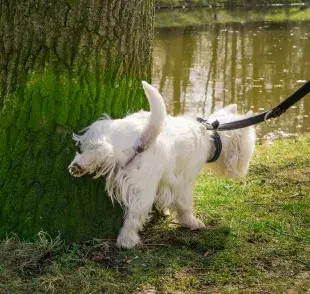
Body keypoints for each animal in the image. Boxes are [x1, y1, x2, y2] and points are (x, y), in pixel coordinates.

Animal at [69, 81, 256, 249]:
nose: (243, 172)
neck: (211, 134)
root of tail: (142, 137)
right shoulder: (185, 180)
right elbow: (185, 205)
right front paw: (192, 222)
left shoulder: (166, 181)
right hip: (143, 189)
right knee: (134, 217)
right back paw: (127, 242)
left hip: (106, 132)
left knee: (101, 149)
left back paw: (79, 165)